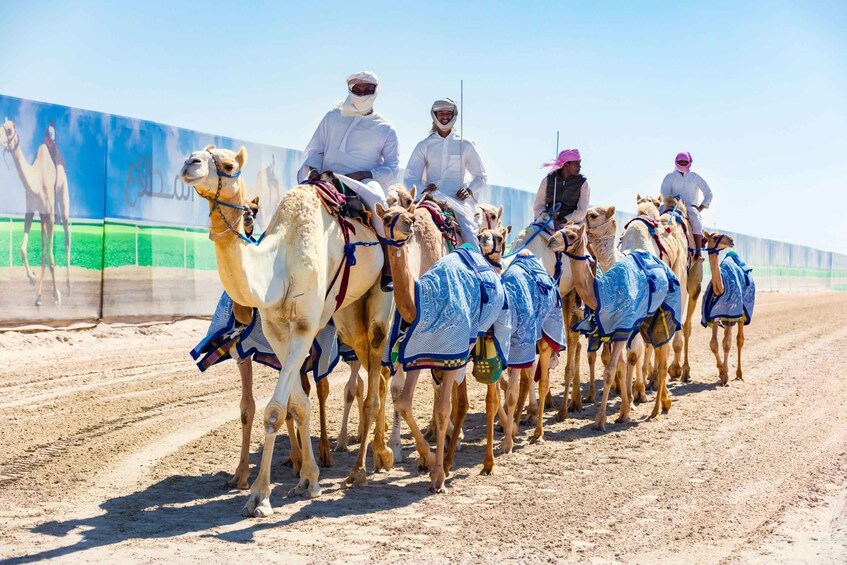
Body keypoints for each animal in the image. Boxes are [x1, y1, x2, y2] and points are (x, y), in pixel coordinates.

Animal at [0, 117, 71, 306]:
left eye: (9, 130)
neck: (36, 179)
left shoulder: (51, 214)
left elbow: (52, 259)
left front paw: (57, 296)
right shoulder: (31, 211)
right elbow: (23, 249)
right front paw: (32, 278)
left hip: (63, 195)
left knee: (67, 236)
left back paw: (68, 288)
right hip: (44, 216)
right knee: (44, 251)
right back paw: (39, 295)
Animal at [378, 199, 510, 490]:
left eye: (408, 217)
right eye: (387, 217)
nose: (407, 224)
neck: (418, 301)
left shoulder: (451, 357)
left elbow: (442, 409)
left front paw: (437, 474)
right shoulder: (416, 358)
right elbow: (404, 402)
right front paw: (427, 459)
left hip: (488, 344)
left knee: (492, 395)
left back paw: (492, 457)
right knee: (466, 401)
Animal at [480, 224, 568, 446]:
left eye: (499, 237)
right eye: (479, 234)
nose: (483, 239)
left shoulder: (519, 346)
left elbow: (512, 390)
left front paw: (508, 439)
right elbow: (499, 389)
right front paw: (508, 428)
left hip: (544, 339)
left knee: (541, 380)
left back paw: (538, 432)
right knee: (528, 377)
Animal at [548, 223, 684, 430]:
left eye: (571, 235)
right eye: (561, 227)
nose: (551, 241)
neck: (601, 292)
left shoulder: (623, 329)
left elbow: (610, 371)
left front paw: (601, 420)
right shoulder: (613, 332)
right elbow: (620, 366)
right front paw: (624, 412)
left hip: (663, 317)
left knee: (662, 361)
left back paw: (656, 410)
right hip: (646, 323)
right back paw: (662, 403)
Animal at [704, 228, 756, 384]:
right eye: (715, 237)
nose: (731, 240)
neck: (720, 289)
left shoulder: (731, 316)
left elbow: (727, 344)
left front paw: (725, 375)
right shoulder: (714, 317)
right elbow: (713, 344)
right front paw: (721, 371)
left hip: (742, 316)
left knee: (739, 340)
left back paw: (739, 373)